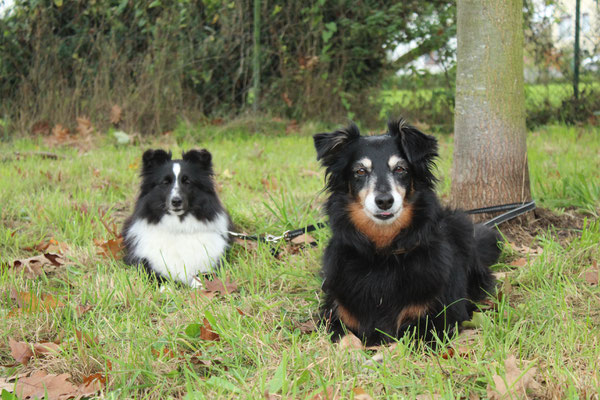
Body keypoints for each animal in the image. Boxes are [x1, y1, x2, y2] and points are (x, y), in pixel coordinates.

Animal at [312, 118, 500, 344]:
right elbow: (347, 338)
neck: (382, 257)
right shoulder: (336, 314)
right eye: (360, 171)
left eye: (400, 169)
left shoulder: (439, 318)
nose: (384, 201)